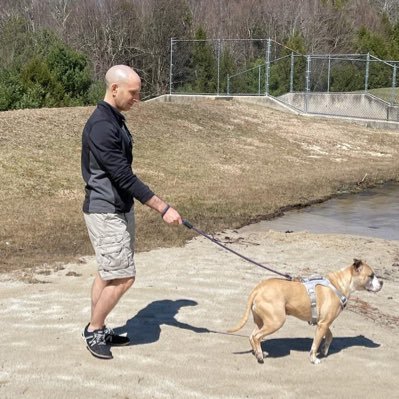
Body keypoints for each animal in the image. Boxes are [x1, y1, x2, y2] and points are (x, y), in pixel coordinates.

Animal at [230, 260, 382, 366]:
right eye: (371, 276)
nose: (382, 282)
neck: (338, 284)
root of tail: (258, 288)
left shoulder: (323, 323)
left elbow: (330, 336)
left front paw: (325, 349)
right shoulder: (323, 324)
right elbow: (315, 345)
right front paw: (314, 359)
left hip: (263, 321)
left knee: (252, 336)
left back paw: (259, 352)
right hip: (276, 321)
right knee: (256, 337)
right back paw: (260, 356)